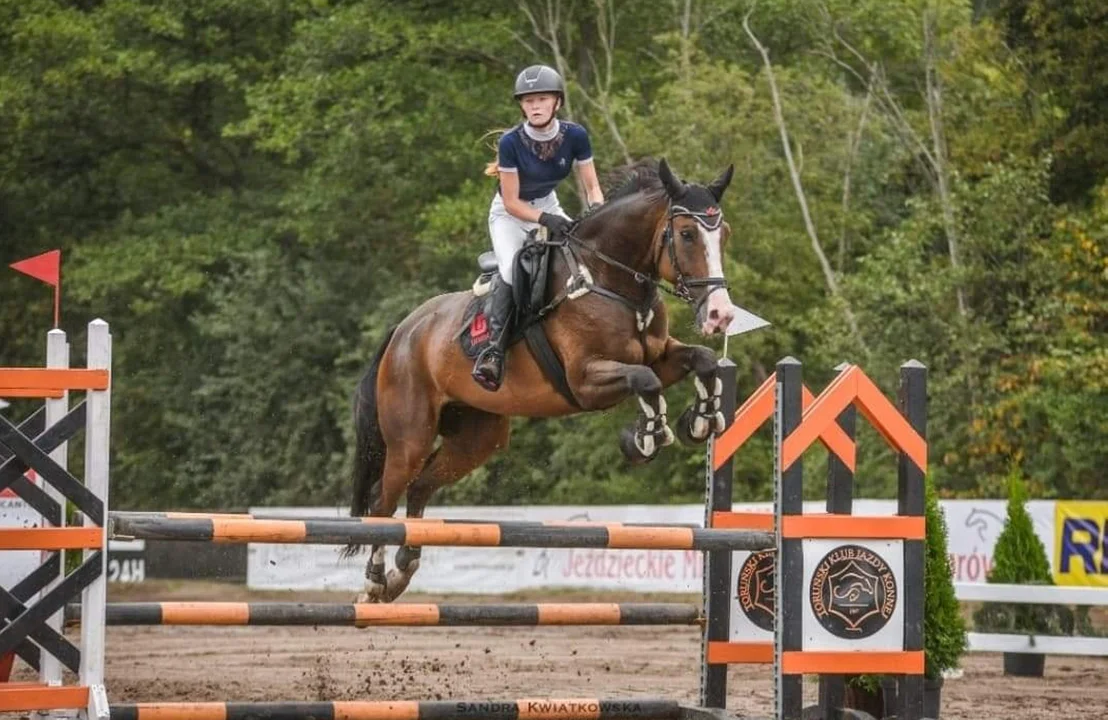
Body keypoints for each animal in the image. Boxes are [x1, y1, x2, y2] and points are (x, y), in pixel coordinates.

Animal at [343, 157, 744, 598]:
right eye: (687, 234)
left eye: (723, 234)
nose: (720, 314)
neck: (609, 280)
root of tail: (403, 330)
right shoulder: (585, 381)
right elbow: (645, 381)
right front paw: (645, 438)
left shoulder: (660, 356)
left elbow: (703, 359)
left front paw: (702, 420)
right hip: (410, 436)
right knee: (384, 499)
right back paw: (375, 581)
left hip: (476, 438)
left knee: (420, 487)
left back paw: (402, 571)